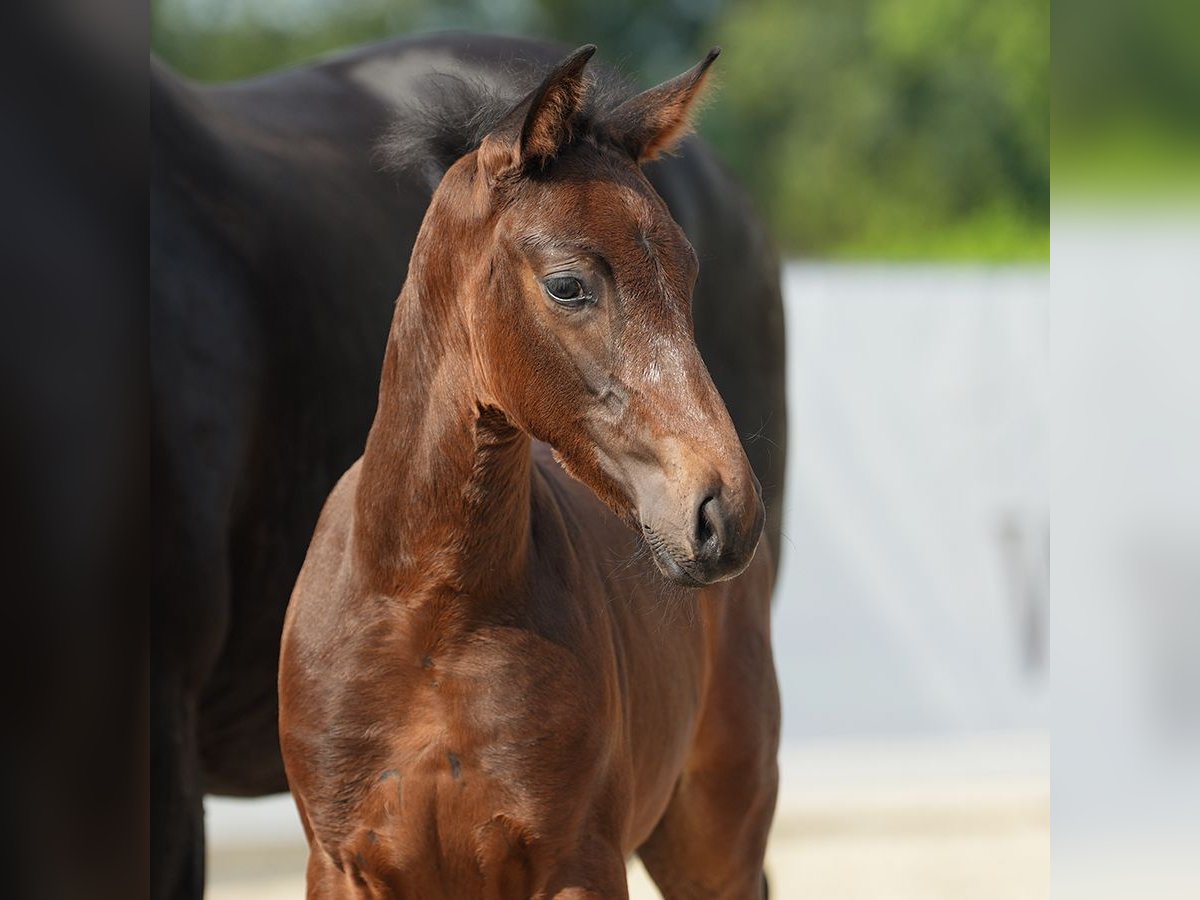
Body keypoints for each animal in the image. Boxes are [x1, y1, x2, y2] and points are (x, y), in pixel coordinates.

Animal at [152, 31, 787, 897]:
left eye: (688, 275)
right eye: (569, 285)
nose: (725, 512)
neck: (429, 612)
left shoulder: (579, 860)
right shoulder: (339, 862)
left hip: (717, 835)